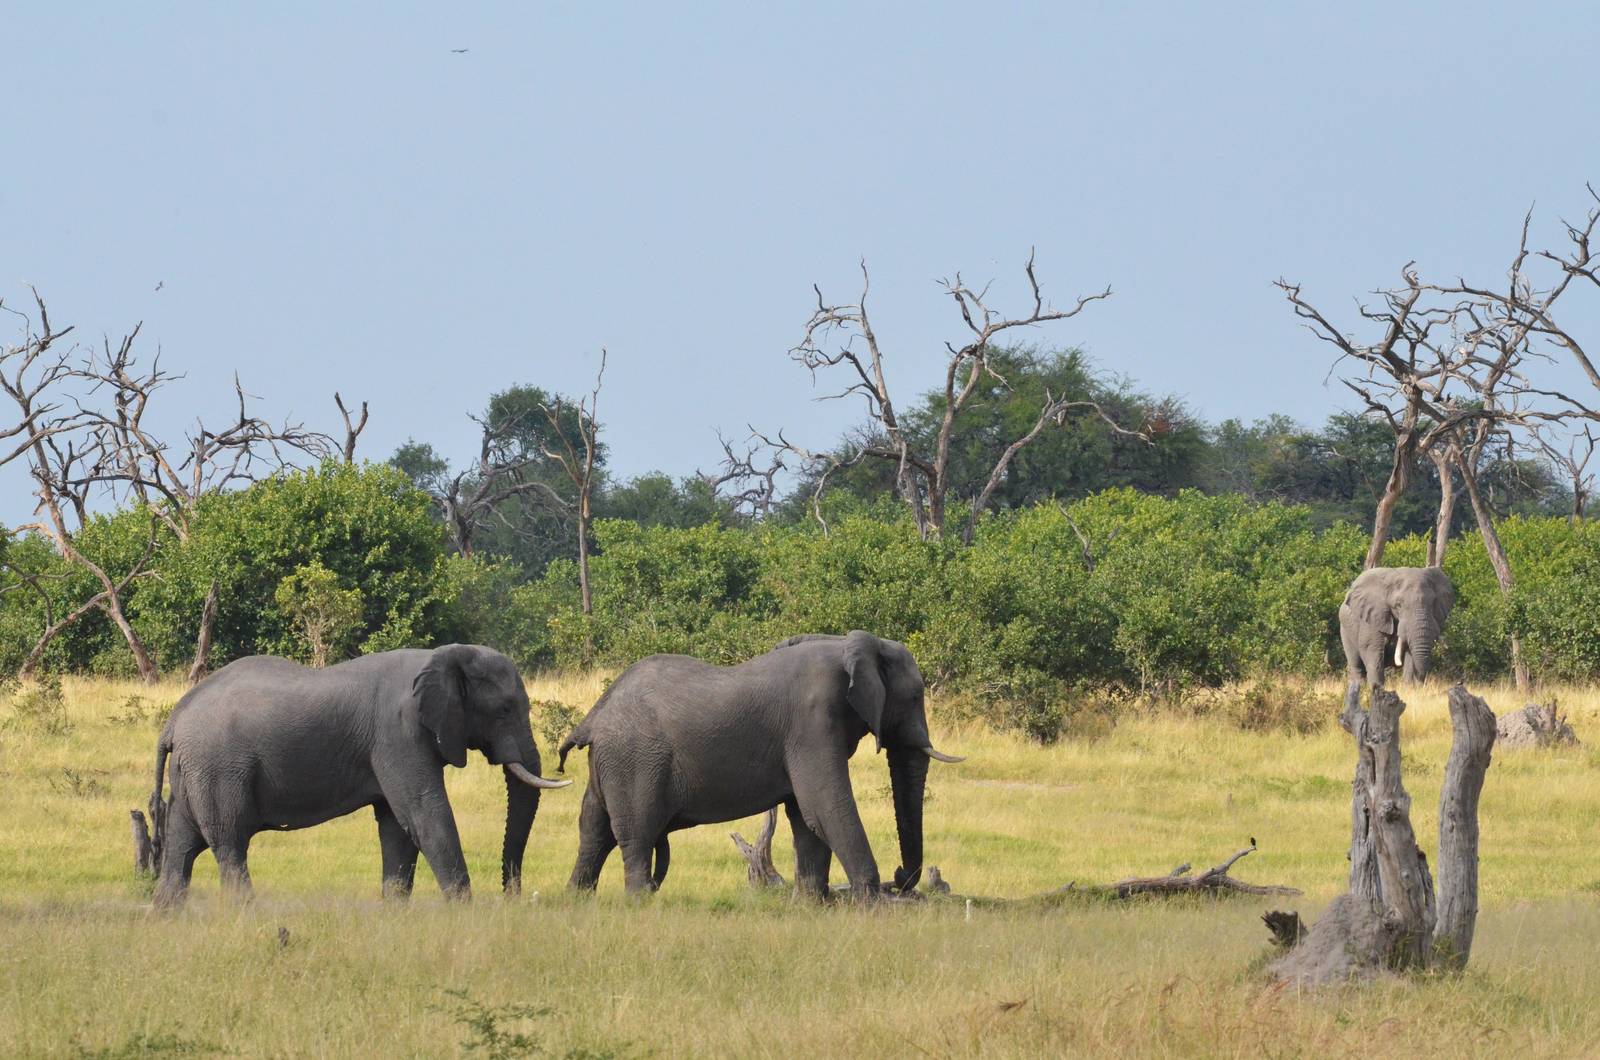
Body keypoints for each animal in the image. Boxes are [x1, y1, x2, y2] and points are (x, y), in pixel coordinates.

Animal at [146, 644, 570, 908]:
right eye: (505, 709)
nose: (512, 896)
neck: (442, 655)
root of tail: (175, 718)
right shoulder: (397, 733)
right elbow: (423, 813)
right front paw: (464, 911)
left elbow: (397, 826)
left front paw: (396, 910)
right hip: (218, 769)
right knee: (229, 843)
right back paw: (244, 912)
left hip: (192, 772)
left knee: (182, 846)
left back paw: (167, 914)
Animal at [557, 630, 963, 898]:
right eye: (916, 696)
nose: (899, 876)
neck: (849, 646)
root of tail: (594, 716)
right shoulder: (811, 723)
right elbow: (824, 806)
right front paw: (871, 904)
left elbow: (805, 815)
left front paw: (811, 905)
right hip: (635, 762)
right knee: (636, 834)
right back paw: (640, 901)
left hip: (611, 762)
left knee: (593, 829)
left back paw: (577, 899)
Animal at [1339, 566, 1455, 722]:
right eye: (1398, 605)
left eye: (1432, 603)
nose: (1420, 686)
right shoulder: (1373, 619)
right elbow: (1373, 653)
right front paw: (1378, 694)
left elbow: (1410, 657)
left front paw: (1409, 691)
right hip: (1345, 630)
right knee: (1356, 665)